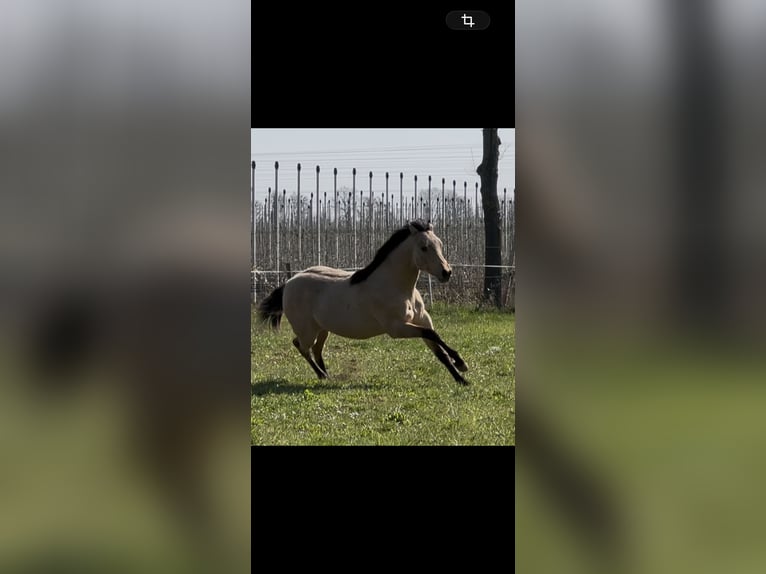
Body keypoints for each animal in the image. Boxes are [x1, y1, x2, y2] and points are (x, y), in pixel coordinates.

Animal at [258, 219, 469, 385]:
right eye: (424, 247)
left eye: (440, 244)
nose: (446, 273)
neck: (398, 288)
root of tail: (289, 282)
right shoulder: (397, 328)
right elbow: (432, 334)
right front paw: (461, 364)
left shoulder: (422, 320)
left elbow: (438, 347)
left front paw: (461, 376)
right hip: (307, 330)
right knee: (301, 346)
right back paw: (321, 375)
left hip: (323, 328)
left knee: (316, 349)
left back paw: (327, 375)